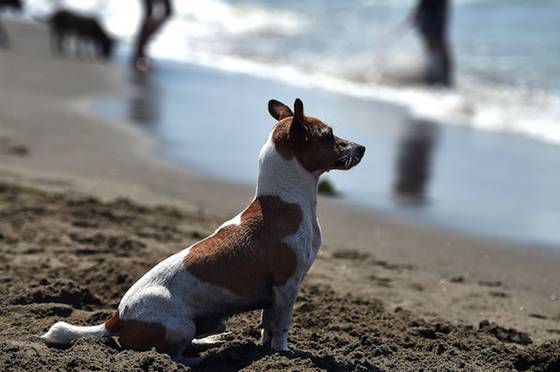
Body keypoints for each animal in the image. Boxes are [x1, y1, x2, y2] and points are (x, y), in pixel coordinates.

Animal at [42, 98, 368, 364]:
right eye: (329, 135)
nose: (363, 148)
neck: (287, 201)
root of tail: (115, 319)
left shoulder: (275, 294)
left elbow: (268, 321)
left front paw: (265, 348)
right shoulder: (287, 285)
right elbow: (281, 325)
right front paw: (282, 352)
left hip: (205, 322)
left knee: (194, 341)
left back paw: (213, 341)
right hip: (180, 326)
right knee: (172, 354)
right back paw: (196, 359)